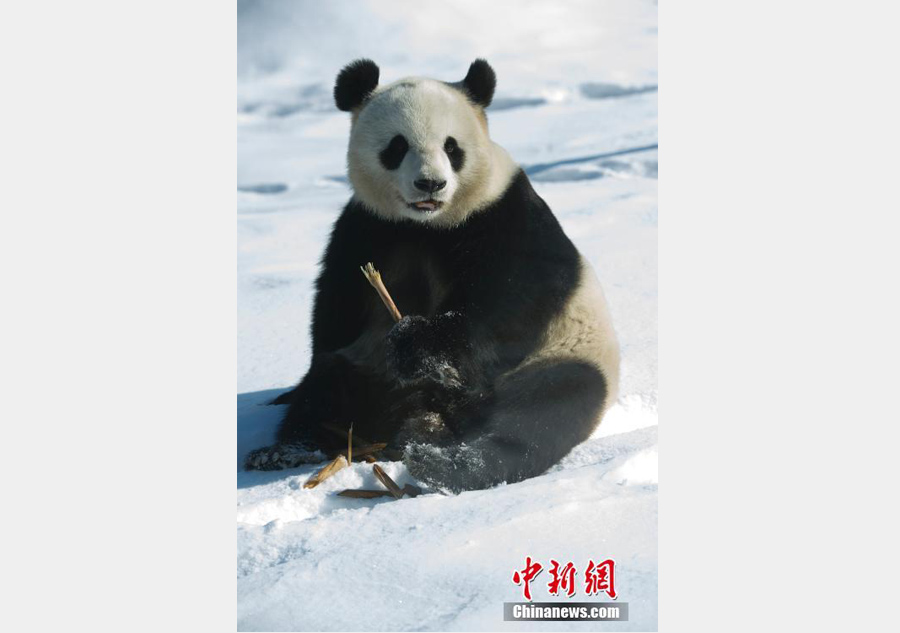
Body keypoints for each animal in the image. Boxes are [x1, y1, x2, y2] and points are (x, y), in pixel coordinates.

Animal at [245, 59, 620, 493]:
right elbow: (336, 308)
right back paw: (288, 449)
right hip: (367, 367)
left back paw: (447, 464)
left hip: (560, 355)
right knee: (330, 387)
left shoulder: (504, 214)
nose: (431, 183)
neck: (425, 225)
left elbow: (513, 300)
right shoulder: (367, 228)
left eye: (451, 147)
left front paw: (417, 343)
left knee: (547, 407)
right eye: (397, 146)